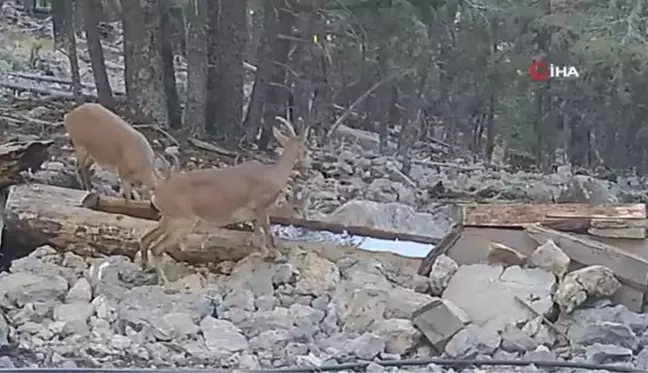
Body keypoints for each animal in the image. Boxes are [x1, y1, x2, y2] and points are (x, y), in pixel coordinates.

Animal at [139, 115, 308, 282]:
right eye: (303, 147)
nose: (307, 164)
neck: (273, 174)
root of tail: (158, 192)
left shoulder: (254, 215)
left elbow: (257, 235)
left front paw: (264, 254)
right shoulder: (261, 208)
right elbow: (268, 233)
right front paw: (277, 256)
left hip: (169, 220)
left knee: (146, 239)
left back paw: (147, 267)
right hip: (183, 221)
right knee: (157, 248)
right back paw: (163, 280)